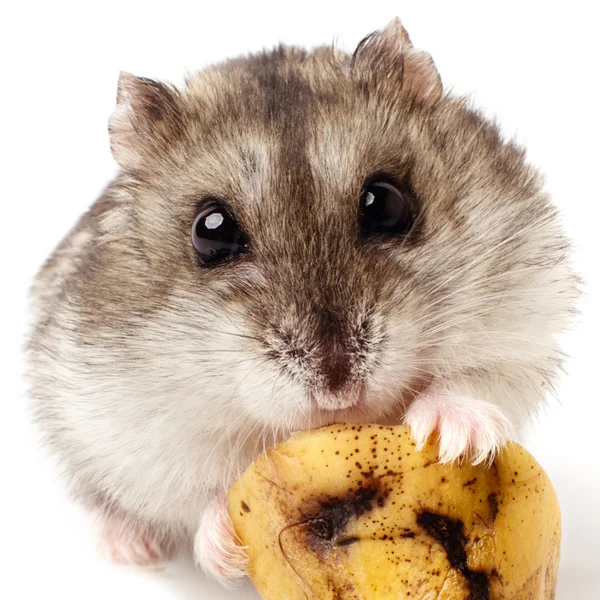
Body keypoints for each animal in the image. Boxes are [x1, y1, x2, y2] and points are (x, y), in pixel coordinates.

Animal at [25, 17, 580, 584]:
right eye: (210, 231)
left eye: (386, 203)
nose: (339, 390)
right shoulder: (121, 418)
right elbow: (192, 493)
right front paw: (225, 544)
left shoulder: (523, 317)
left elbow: (480, 380)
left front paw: (454, 435)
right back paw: (131, 548)